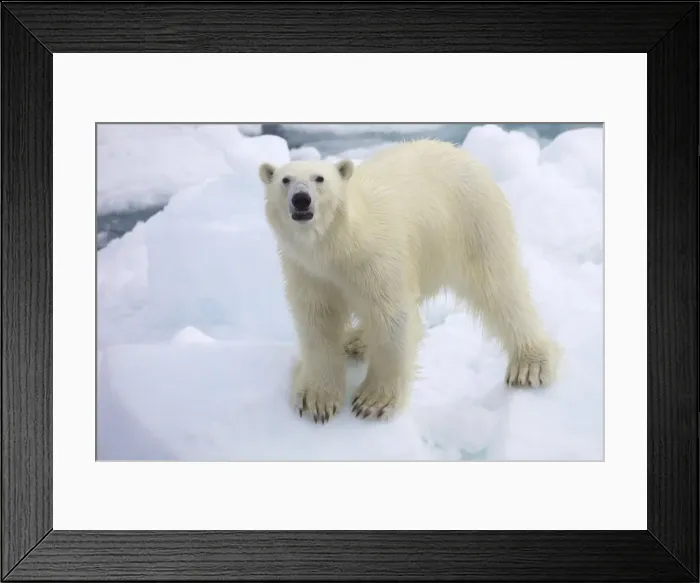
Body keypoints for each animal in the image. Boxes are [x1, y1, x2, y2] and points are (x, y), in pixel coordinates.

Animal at [258, 138, 558, 424]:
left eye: (319, 178)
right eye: (285, 180)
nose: (301, 199)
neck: (338, 247)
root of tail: (462, 152)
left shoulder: (376, 259)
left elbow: (391, 318)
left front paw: (372, 402)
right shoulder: (308, 271)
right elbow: (317, 322)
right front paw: (316, 400)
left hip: (473, 221)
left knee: (500, 287)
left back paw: (530, 364)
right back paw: (354, 340)